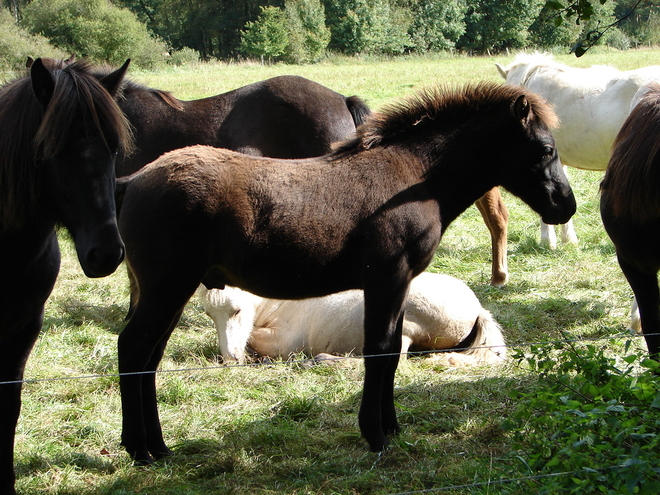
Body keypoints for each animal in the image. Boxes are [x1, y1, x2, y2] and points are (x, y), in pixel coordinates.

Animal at [199, 272, 508, 368]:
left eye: (237, 310)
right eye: (209, 314)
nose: (230, 359)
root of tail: (477, 310)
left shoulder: (285, 341)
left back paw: (320, 360)